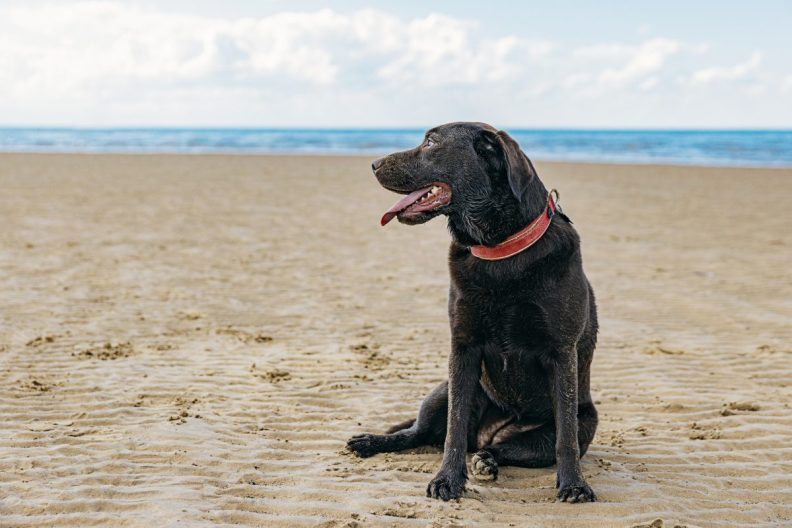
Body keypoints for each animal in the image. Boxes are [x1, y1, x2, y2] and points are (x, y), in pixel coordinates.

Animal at [346, 120, 600, 504]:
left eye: (431, 142)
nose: (373, 164)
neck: (500, 249)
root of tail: (490, 432)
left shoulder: (561, 353)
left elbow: (565, 438)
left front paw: (573, 484)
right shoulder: (463, 348)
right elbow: (453, 429)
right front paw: (448, 480)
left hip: (585, 421)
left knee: (512, 447)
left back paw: (488, 459)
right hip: (441, 391)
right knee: (420, 433)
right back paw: (372, 441)